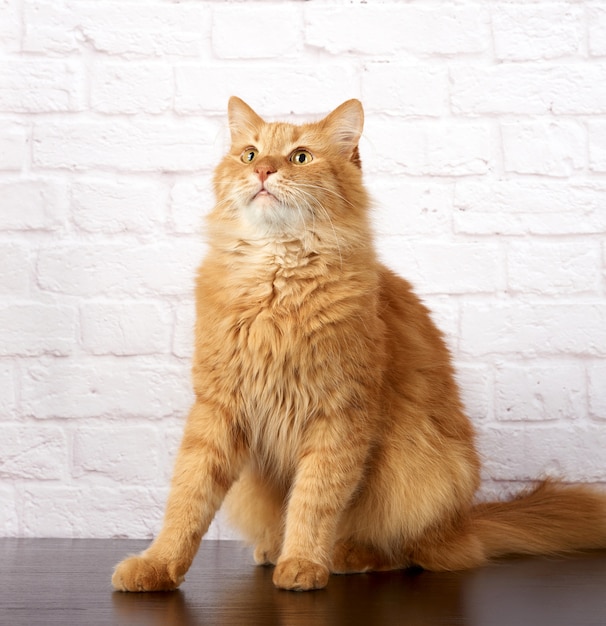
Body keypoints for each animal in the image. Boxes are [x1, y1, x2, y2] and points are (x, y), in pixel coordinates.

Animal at [111, 96, 604, 588]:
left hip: (422, 469)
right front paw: (158, 565)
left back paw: (345, 555)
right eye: (249, 154)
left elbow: (313, 500)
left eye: (300, 157)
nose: (264, 171)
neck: (277, 280)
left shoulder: (340, 414)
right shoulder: (217, 408)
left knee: (412, 552)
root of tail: (464, 524)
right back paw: (273, 548)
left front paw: (303, 563)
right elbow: (187, 499)